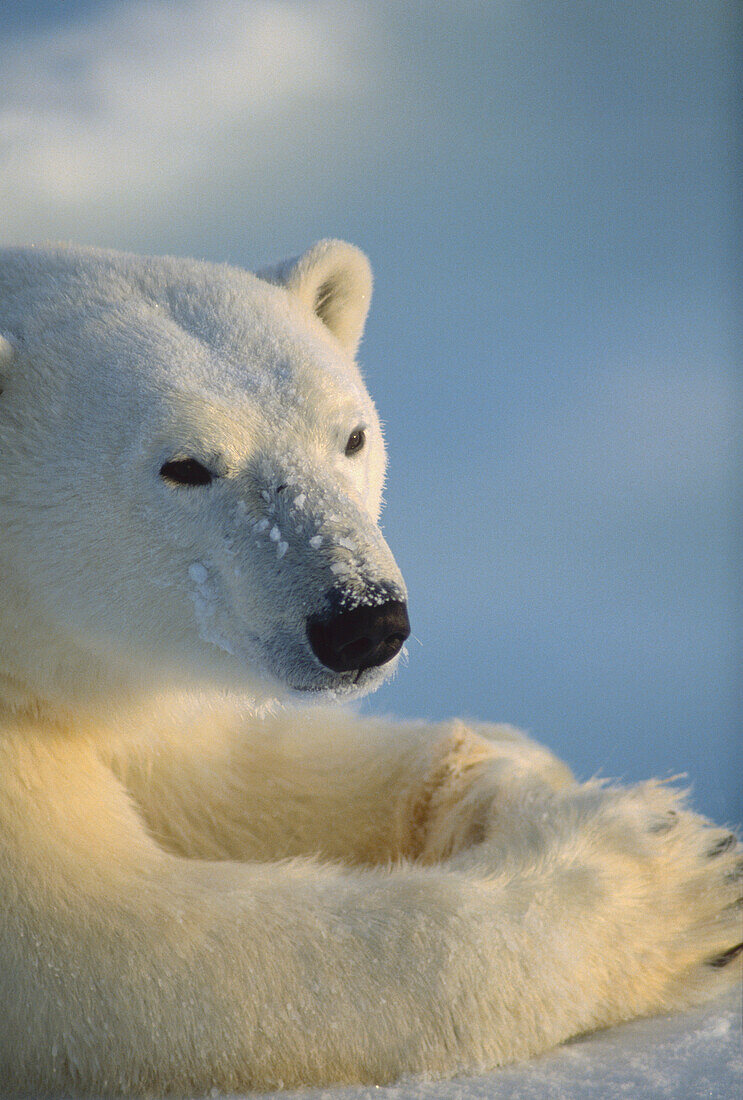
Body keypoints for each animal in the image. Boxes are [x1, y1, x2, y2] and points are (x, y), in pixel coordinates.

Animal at [0, 243, 739, 1100]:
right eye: (183, 466)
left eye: (350, 435)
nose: (362, 622)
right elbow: (132, 955)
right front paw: (671, 880)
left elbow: (230, 775)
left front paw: (504, 782)